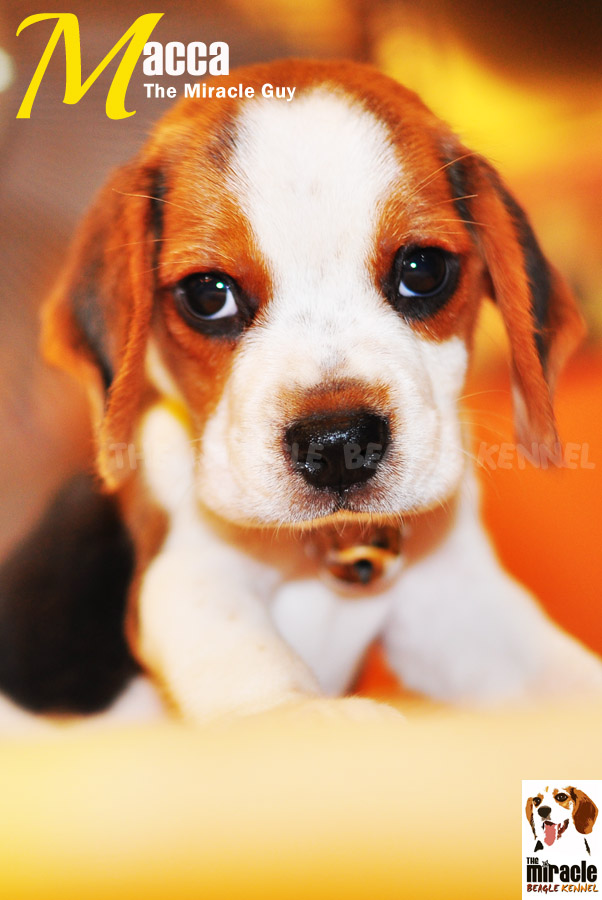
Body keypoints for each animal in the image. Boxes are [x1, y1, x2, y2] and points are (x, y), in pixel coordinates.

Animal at [2, 59, 602, 726]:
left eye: (422, 269)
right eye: (208, 294)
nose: (338, 443)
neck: (320, 548)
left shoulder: (458, 605)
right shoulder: (190, 574)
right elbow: (261, 673)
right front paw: (324, 720)